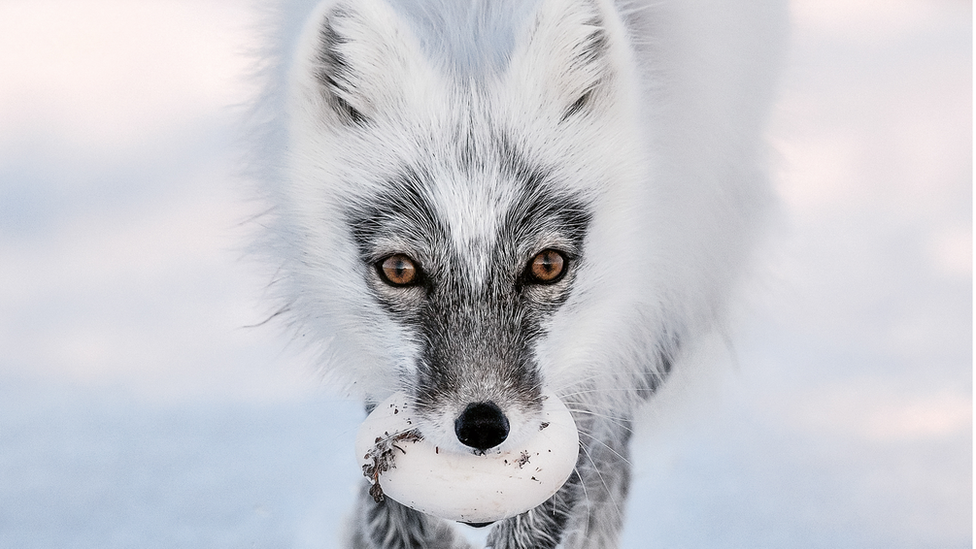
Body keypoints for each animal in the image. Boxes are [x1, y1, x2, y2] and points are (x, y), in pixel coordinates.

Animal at [254, 0, 784, 544]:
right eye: (399, 269)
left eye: (547, 265)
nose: (483, 426)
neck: (471, 18)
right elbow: (394, 511)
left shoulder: (612, 337)